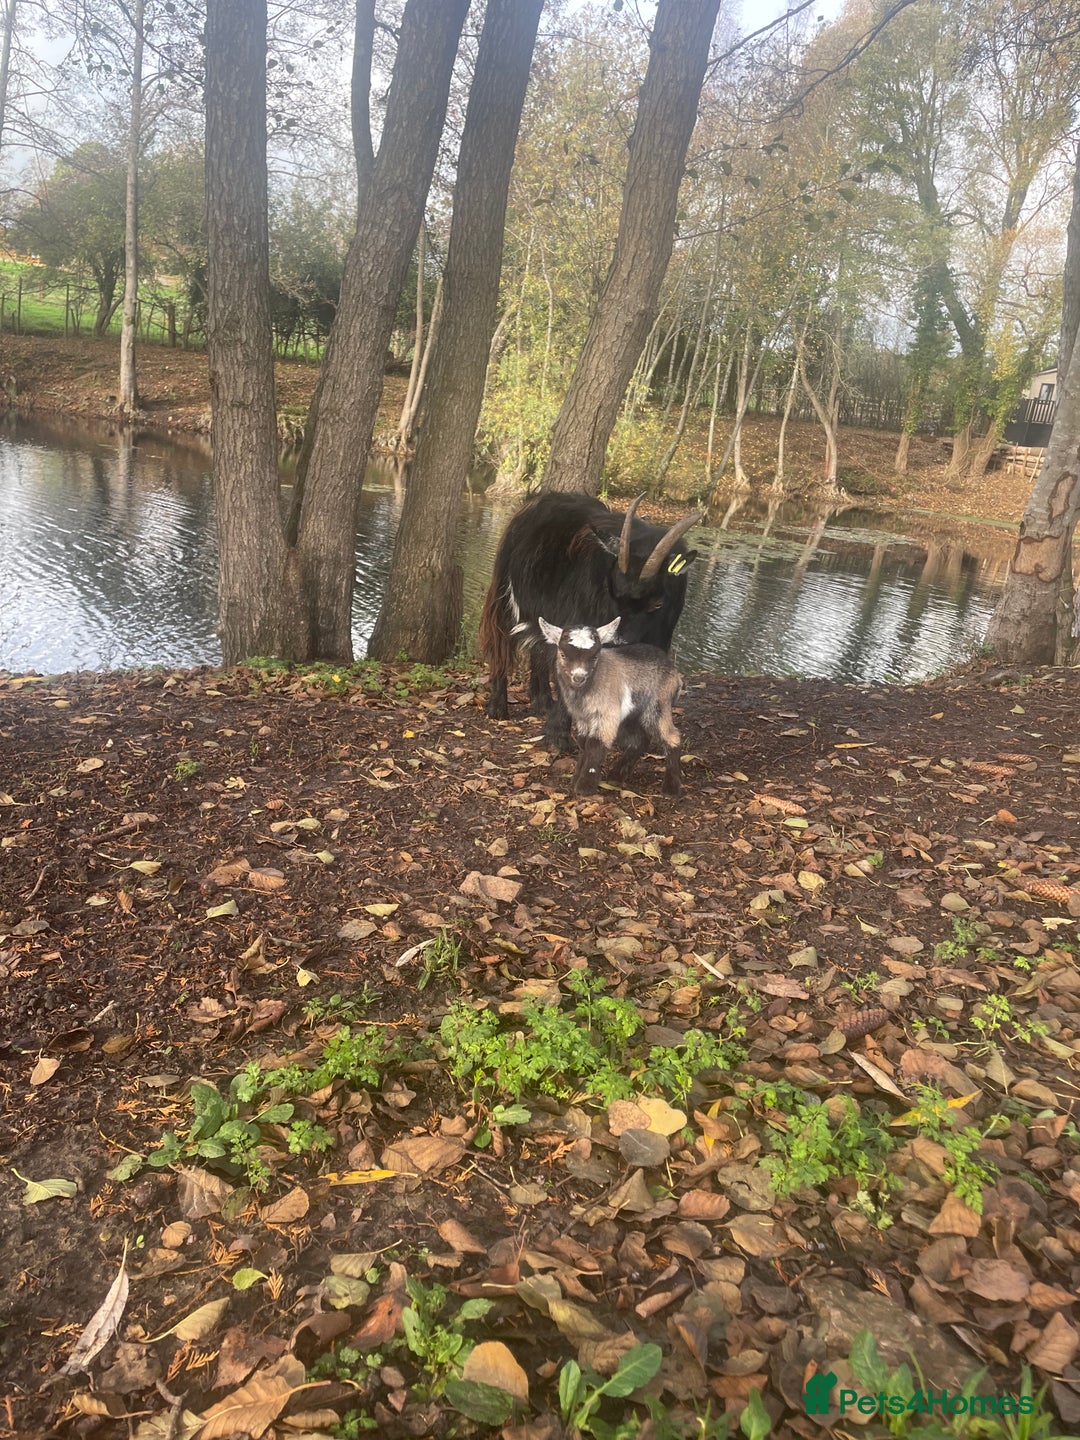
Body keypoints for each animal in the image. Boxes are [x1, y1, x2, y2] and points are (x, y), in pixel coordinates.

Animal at [480, 491, 701, 748]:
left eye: (657, 604)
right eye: (613, 594)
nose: (620, 643)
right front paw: (558, 739)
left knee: (539, 649)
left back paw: (542, 702)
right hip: (504, 596)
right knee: (500, 642)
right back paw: (498, 707)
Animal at [538, 616, 684, 796]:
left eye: (595, 656)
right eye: (563, 654)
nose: (579, 677)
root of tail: (676, 675)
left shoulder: (607, 714)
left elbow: (595, 745)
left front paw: (584, 787)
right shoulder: (583, 718)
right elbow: (584, 743)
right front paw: (575, 779)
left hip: (658, 705)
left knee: (672, 736)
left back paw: (671, 787)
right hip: (631, 715)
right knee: (640, 739)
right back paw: (616, 776)